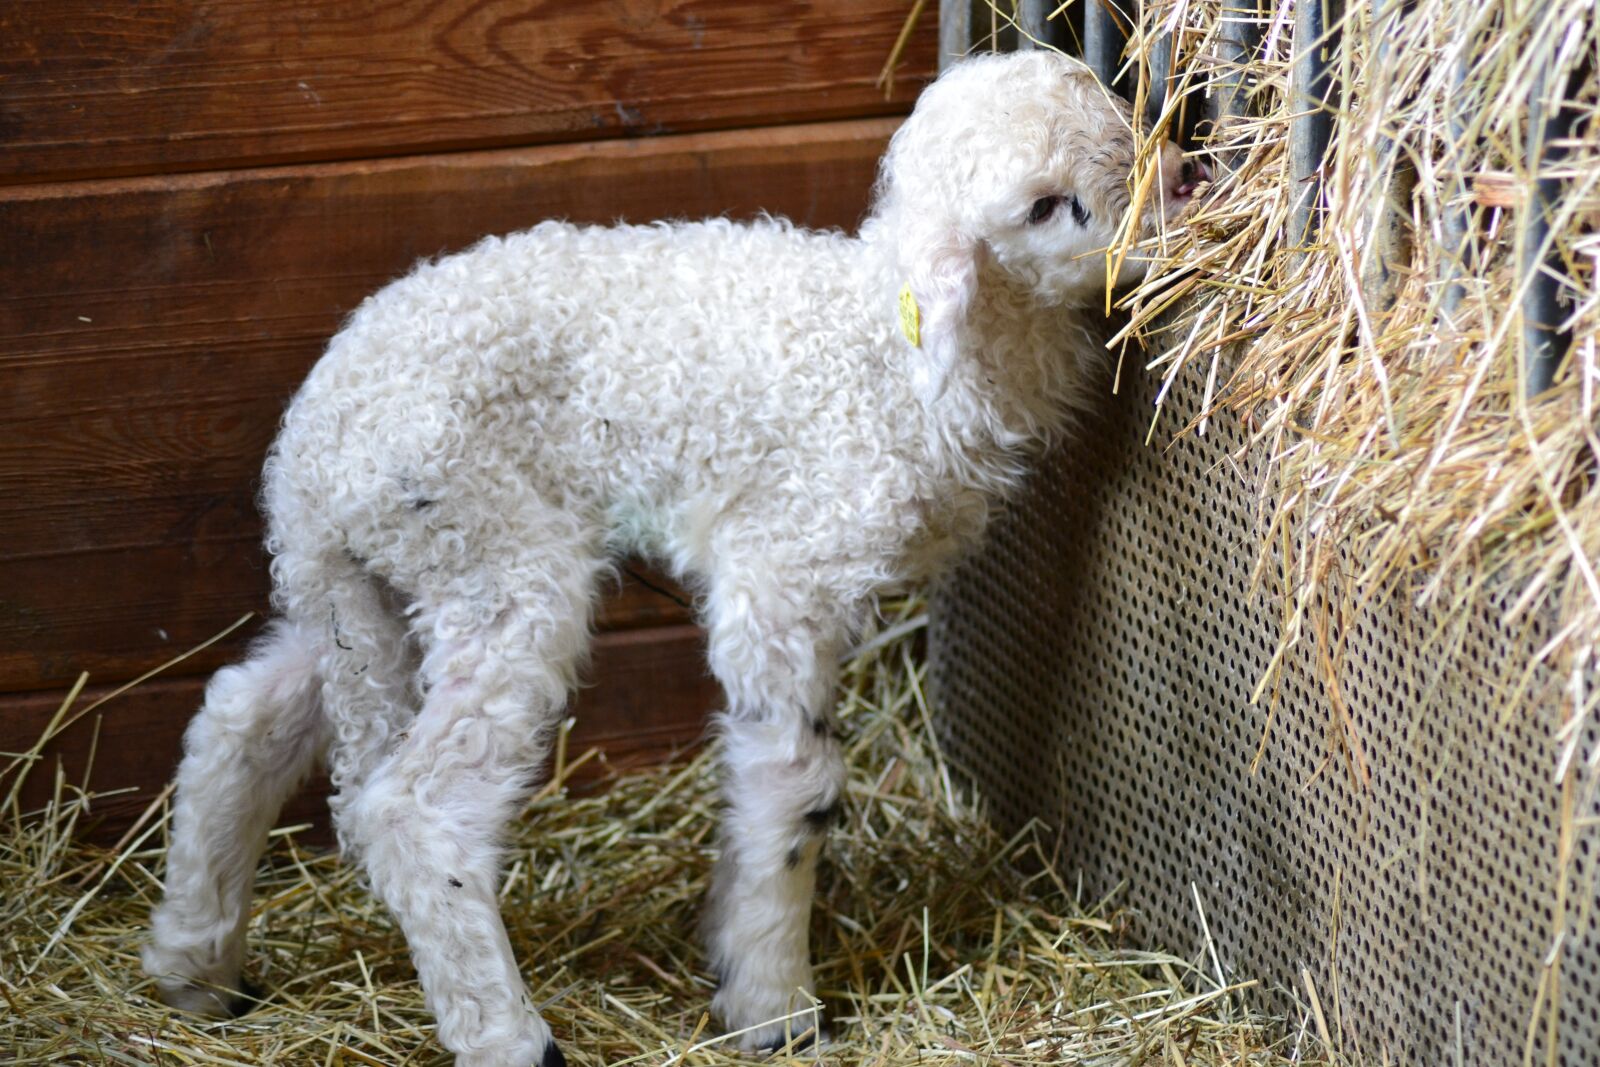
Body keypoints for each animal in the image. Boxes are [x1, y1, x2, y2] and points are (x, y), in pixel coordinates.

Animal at [141, 49, 1201, 1067]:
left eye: (1120, 114)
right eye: (1043, 205)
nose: (1187, 184)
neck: (882, 352)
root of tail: (315, 445)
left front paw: (731, 947)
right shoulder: (782, 573)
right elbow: (797, 783)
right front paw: (774, 1006)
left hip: (364, 589)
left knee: (242, 715)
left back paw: (195, 967)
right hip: (489, 558)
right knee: (417, 806)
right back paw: (507, 1035)